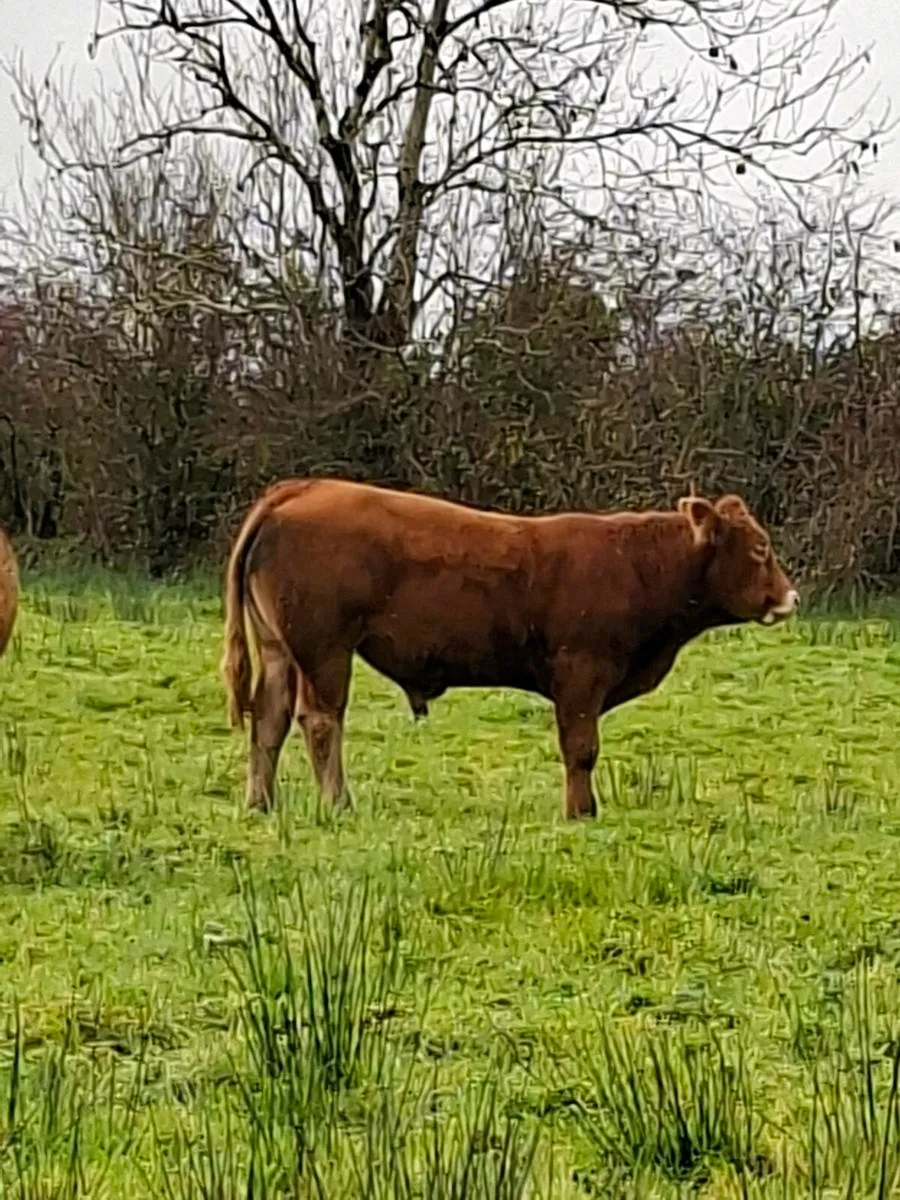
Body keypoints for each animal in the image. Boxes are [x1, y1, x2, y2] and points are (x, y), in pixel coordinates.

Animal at [221, 478, 798, 820]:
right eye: (760, 549)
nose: (790, 597)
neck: (638, 565)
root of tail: (302, 489)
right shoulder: (580, 674)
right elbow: (581, 748)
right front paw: (581, 811)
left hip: (280, 650)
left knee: (268, 720)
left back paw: (261, 803)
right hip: (325, 650)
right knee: (320, 721)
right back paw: (339, 802)